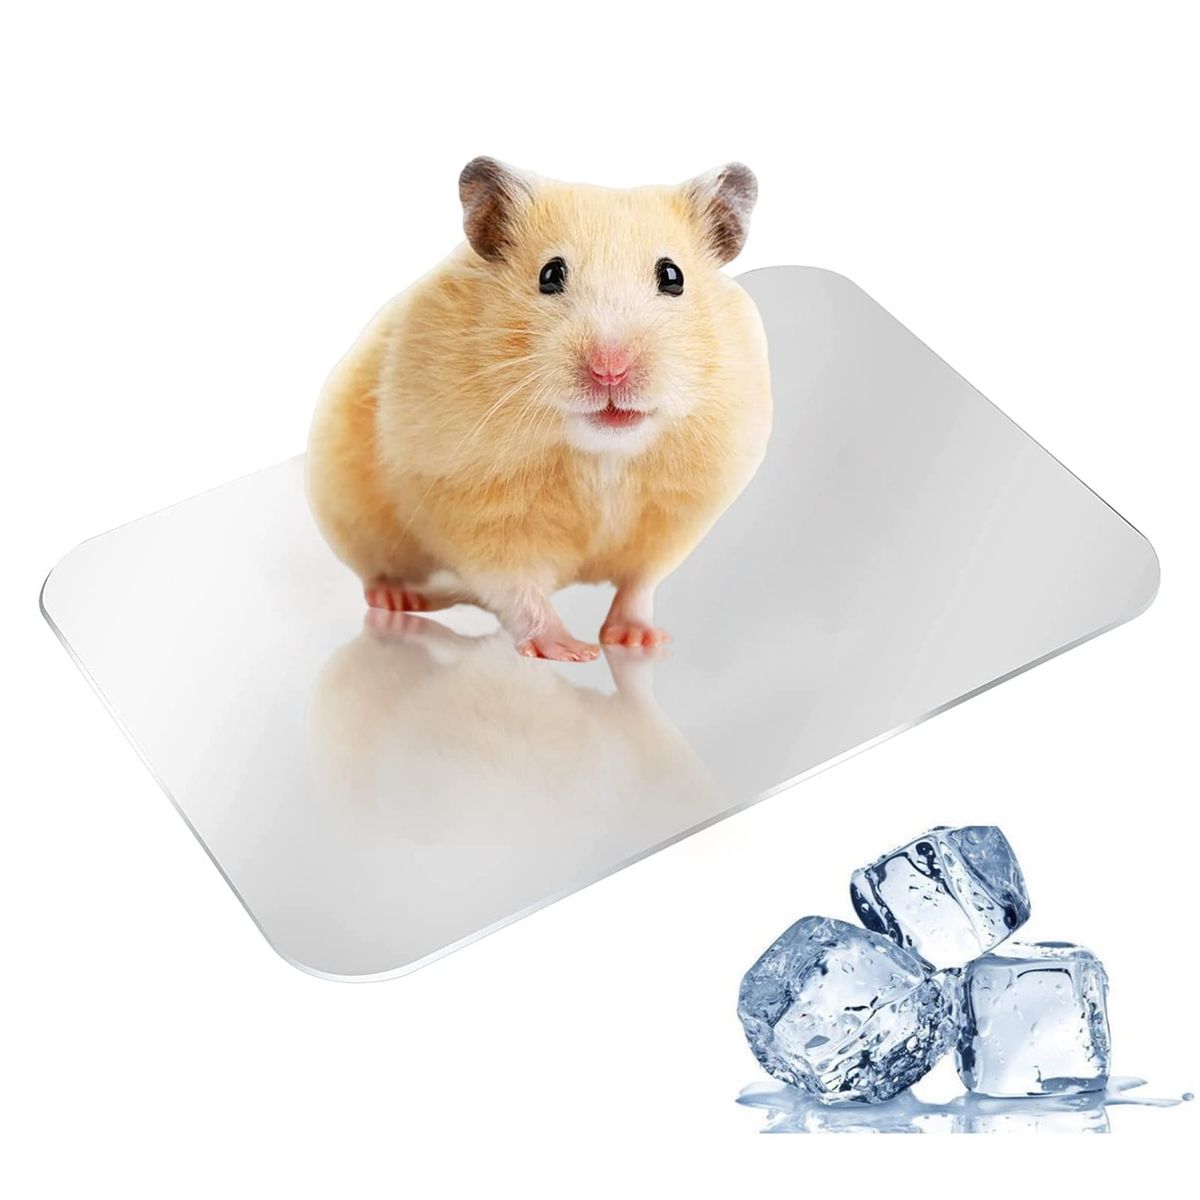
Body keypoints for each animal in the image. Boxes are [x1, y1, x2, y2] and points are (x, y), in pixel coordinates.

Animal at [307, 157, 772, 661]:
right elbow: (519, 588)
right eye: (550, 274)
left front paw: (639, 641)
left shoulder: (674, 518)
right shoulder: (476, 509)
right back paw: (396, 600)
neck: (602, 454)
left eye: (673, 277)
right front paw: (572, 651)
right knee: (381, 573)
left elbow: (639, 585)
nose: (610, 369)